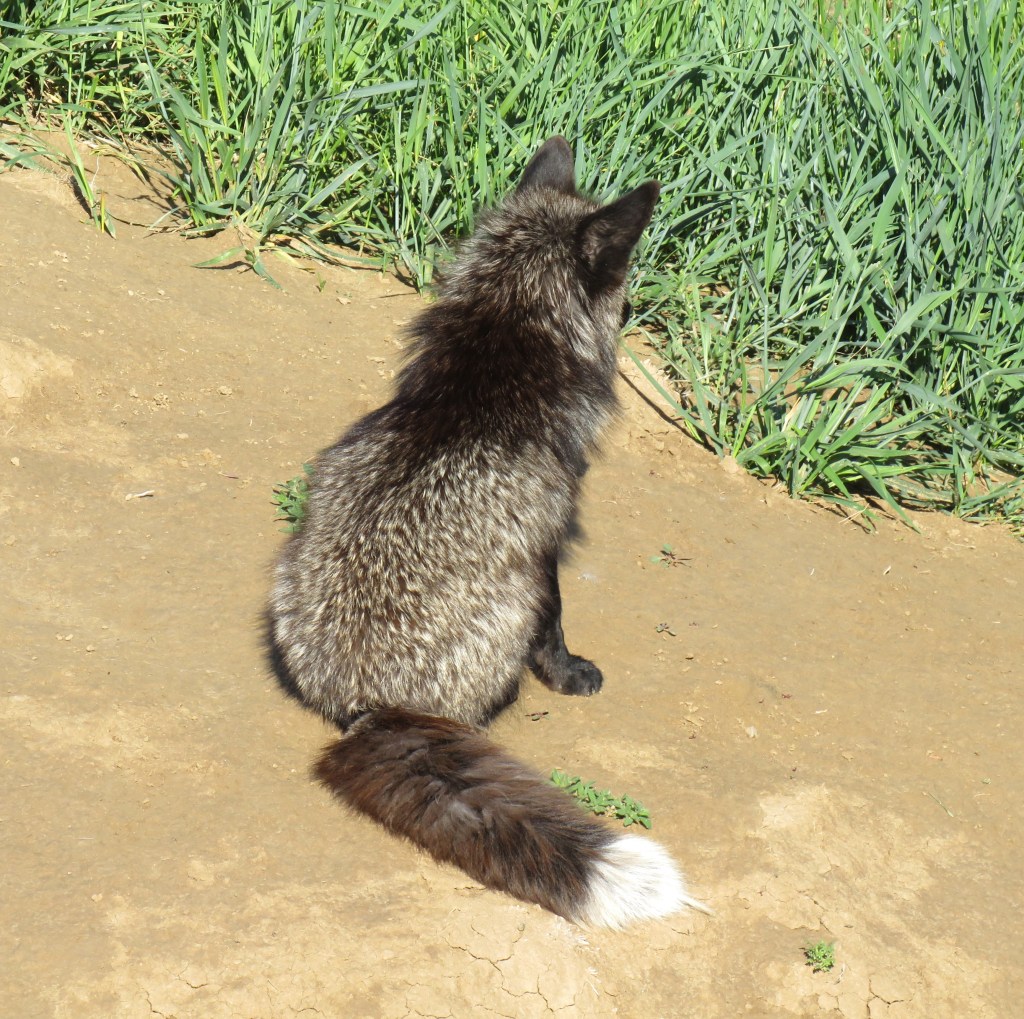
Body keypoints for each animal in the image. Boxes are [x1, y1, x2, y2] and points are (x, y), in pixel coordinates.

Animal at [268, 136, 706, 927]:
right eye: (623, 282)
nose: (638, 309)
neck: (503, 341)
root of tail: (372, 705)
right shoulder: (548, 540)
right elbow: (558, 622)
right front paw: (570, 674)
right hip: (509, 608)